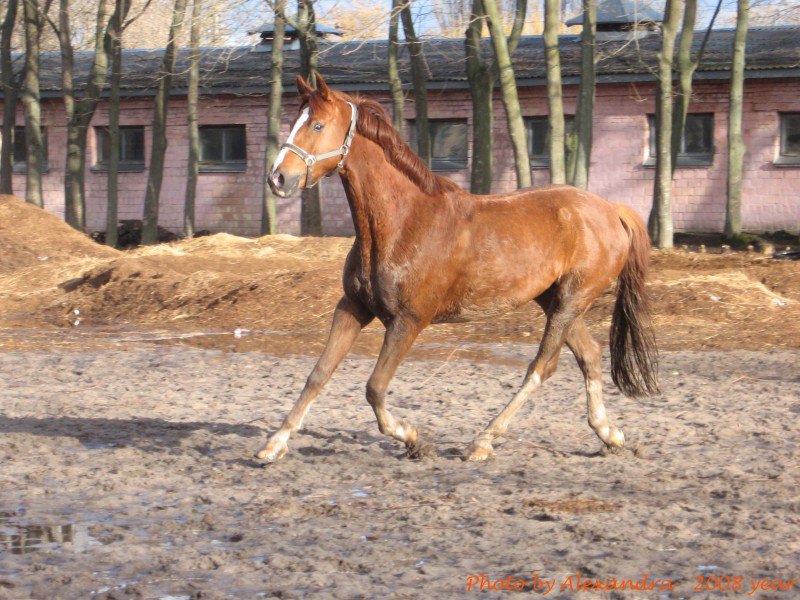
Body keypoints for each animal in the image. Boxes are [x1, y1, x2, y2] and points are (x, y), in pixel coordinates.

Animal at [256, 72, 656, 462]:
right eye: (293, 122)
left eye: (318, 125)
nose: (278, 178)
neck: (402, 222)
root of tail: (610, 209)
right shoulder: (352, 307)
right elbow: (319, 374)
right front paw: (274, 443)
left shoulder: (408, 321)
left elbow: (375, 387)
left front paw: (413, 439)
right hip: (555, 302)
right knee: (589, 355)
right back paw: (610, 435)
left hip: (572, 301)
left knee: (541, 367)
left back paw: (482, 442)